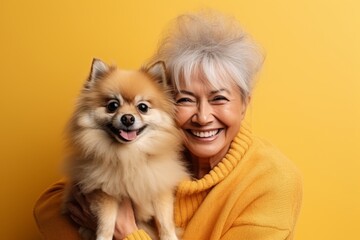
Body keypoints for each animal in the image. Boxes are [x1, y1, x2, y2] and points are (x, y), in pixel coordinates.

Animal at [63, 58, 190, 240]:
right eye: (112, 105)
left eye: (143, 107)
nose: (128, 118)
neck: (130, 155)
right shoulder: (103, 192)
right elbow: (107, 221)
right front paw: (103, 238)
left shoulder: (159, 188)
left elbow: (165, 220)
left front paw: (170, 237)